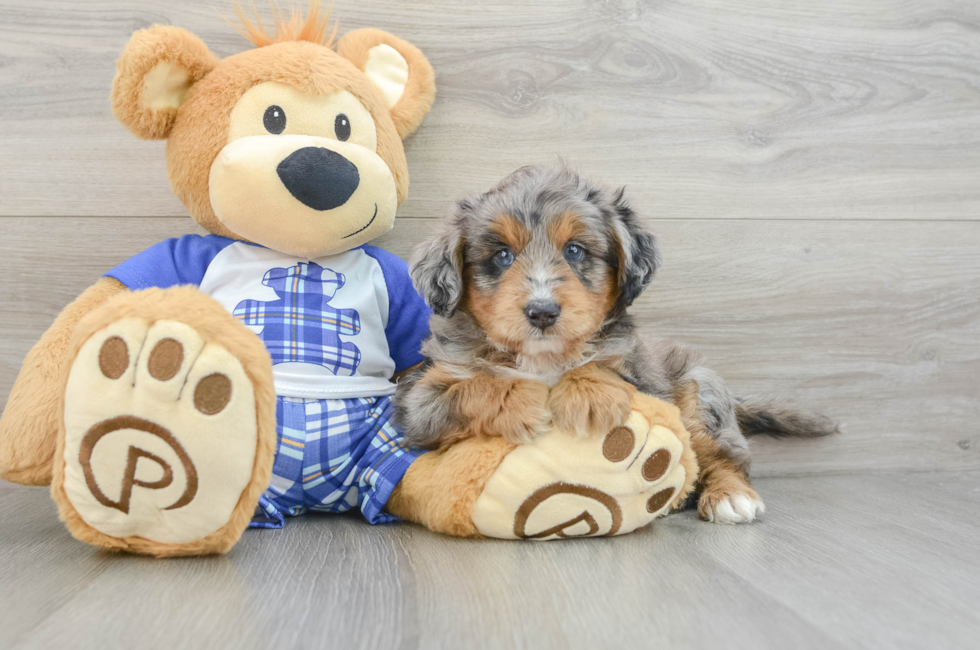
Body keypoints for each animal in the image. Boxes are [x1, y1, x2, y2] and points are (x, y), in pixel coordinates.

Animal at [390, 162, 836, 520]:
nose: (542, 312)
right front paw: (520, 397)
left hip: (699, 395)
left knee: (727, 456)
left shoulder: (642, 377)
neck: (543, 359)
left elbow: (600, 365)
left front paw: (588, 393)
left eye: (574, 251)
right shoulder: (420, 401)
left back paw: (730, 497)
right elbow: (473, 387)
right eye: (501, 256)